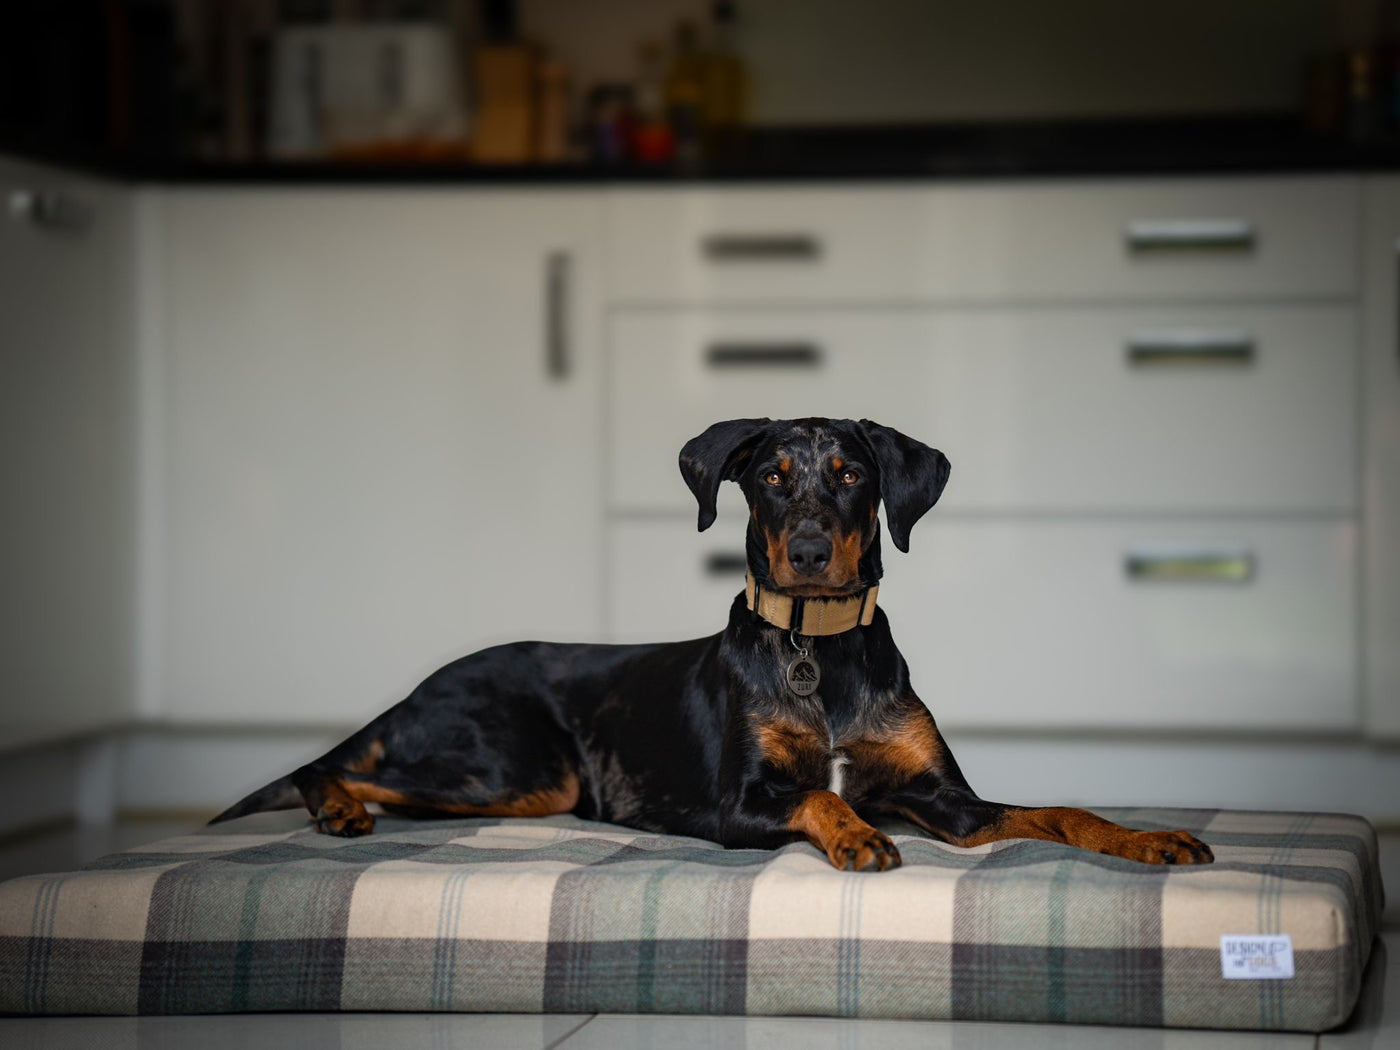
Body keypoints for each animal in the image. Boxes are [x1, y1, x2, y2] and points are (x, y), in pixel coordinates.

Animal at [215, 417, 1215, 873]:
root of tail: (424, 684)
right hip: (516, 767)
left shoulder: (947, 803)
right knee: (327, 765)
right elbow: (819, 797)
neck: (820, 652)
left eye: (850, 475)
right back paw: (336, 809)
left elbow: (1064, 811)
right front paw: (858, 837)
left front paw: (1152, 838)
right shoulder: (738, 805)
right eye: (770, 478)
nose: (807, 552)